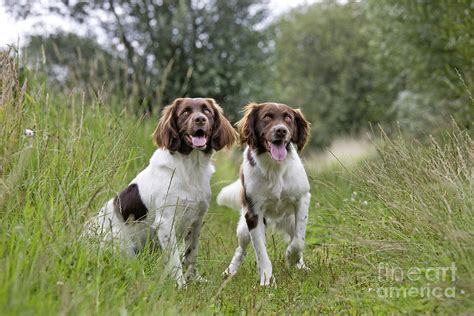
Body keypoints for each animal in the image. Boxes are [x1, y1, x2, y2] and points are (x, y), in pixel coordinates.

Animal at [84, 97, 236, 288]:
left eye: (207, 110)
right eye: (185, 112)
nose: (200, 119)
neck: (190, 168)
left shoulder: (197, 220)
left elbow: (191, 253)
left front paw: (194, 279)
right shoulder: (165, 222)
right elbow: (175, 260)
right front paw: (181, 286)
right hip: (118, 238)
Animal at [218, 102, 312, 286]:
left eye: (288, 117)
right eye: (267, 116)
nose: (281, 130)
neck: (274, 167)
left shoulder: (303, 198)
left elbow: (299, 241)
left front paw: (291, 258)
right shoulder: (253, 214)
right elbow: (261, 252)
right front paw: (267, 280)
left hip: (290, 221)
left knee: (295, 236)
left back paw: (301, 265)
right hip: (244, 229)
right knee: (241, 249)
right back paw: (229, 271)